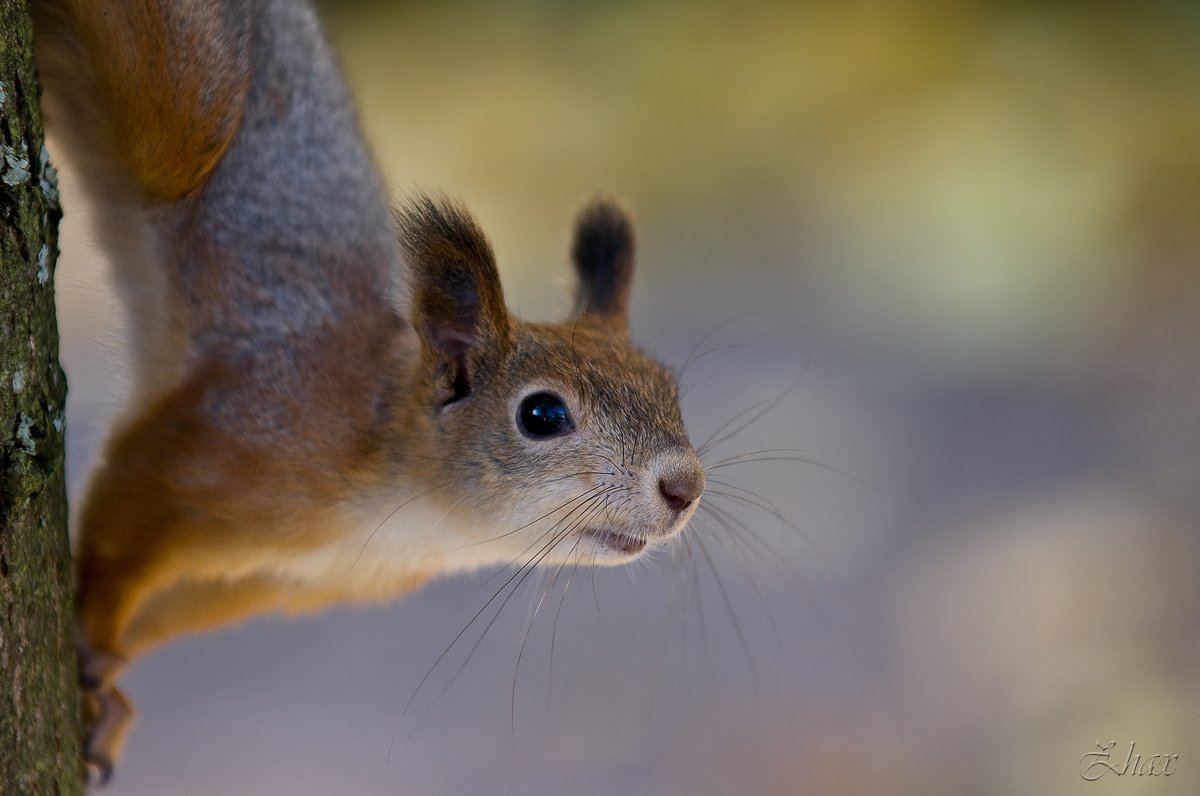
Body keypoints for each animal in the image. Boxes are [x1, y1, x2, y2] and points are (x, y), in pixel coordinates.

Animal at [30, 0, 700, 782]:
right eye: (541, 413)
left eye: (667, 385)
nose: (686, 486)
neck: (404, 511)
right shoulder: (226, 439)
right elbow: (122, 521)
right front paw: (89, 636)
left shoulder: (275, 580)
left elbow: (159, 608)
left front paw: (112, 687)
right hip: (188, 102)